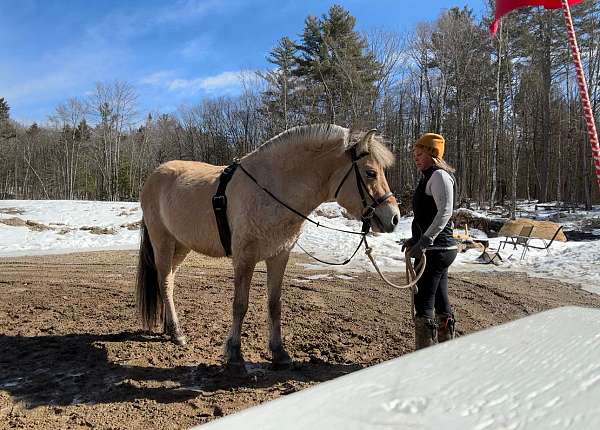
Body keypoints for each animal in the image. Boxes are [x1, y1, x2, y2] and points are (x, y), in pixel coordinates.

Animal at [135, 123, 398, 370]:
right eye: (371, 172)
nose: (394, 218)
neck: (272, 189)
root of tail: (154, 176)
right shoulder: (244, 258)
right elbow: (240, 304)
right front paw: (235, 354)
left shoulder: (279, 256)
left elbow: (274, 304)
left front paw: (279, 353)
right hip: (163, 242)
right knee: (165, 282)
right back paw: (177, 333)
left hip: (180, 246)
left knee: (168, 281)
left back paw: (170, 327)